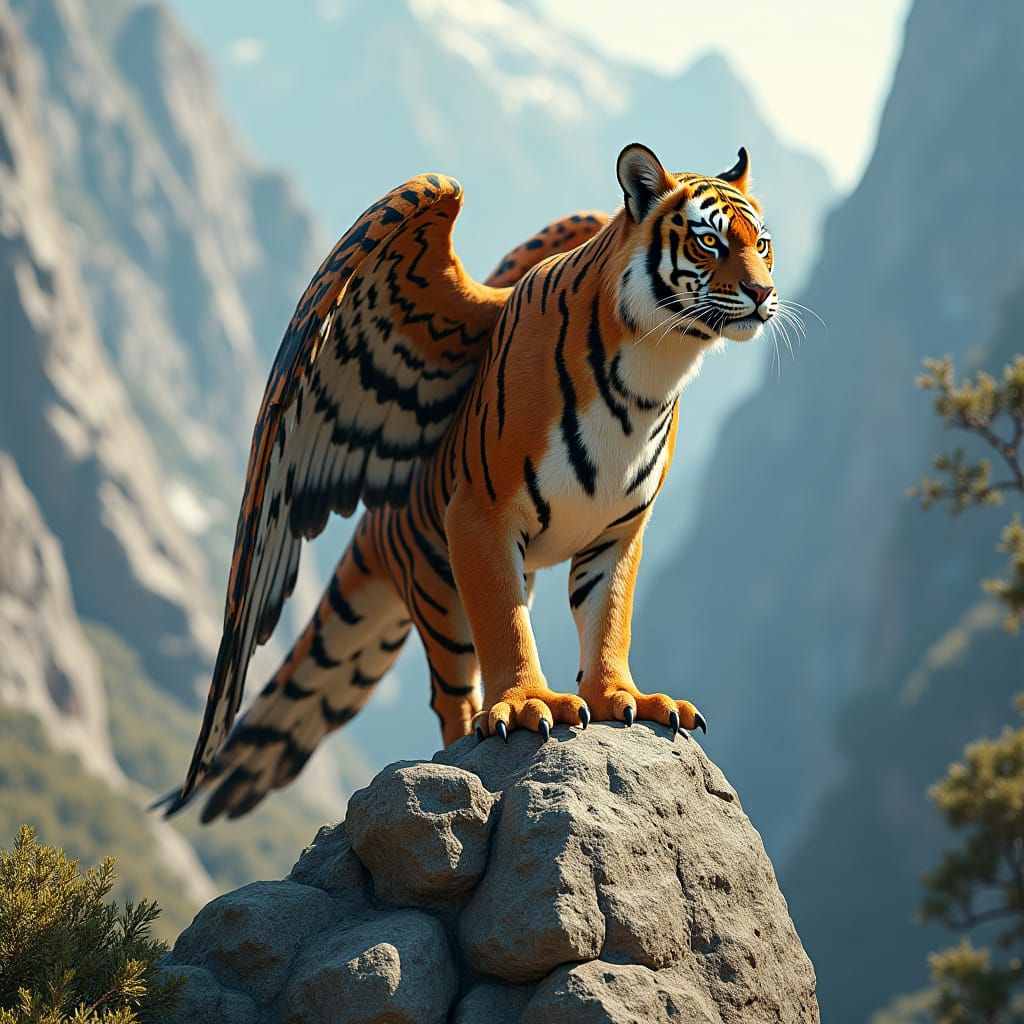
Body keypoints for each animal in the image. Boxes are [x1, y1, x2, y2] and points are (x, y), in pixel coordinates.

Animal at [160, 143, 777, 821]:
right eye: (709, 242)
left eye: (762, 243)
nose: (763, 292)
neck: (652, 370)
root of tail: (374, 526)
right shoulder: (481, 517)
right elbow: (506, 626)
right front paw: (531, 704)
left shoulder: (617, 532)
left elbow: (609, 617)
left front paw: (624, 697)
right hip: (439, 590)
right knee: (451, 695)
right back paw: (472, 736)